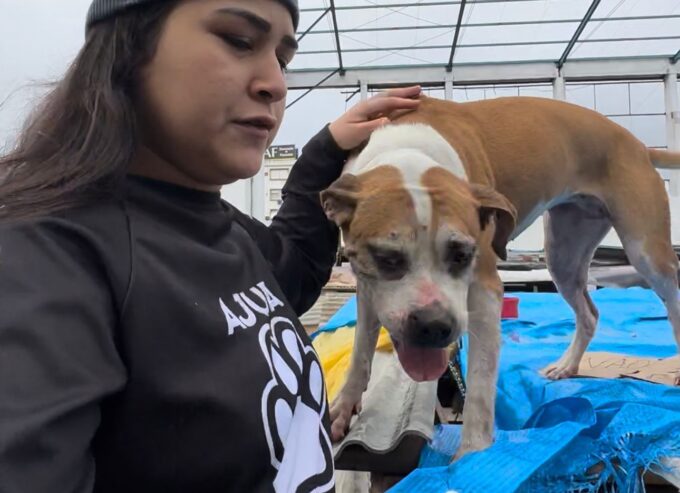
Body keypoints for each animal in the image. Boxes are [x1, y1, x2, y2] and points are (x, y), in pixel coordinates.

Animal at [320, 95, 680, 458]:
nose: (434, 326)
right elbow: (361, 349)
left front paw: (472, 457)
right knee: (589, 313)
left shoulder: (483, 291)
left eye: (462, 255)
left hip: (646, 251)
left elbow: (480, 385)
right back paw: (567, 365)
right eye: (386, 258)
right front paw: (345, 405)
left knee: (671, 297)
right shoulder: (368, 288)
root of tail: (637, 145)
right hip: (563, 254)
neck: (409, 152)